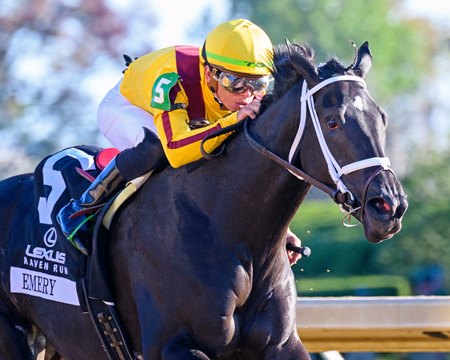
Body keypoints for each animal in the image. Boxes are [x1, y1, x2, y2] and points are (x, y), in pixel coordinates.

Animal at [0, 40, 408, 358]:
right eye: (333, 120)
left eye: (382, 118)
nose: (388, 206)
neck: (229, 229)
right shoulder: (172, 345)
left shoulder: (281, 343)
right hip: (15, 336)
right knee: (150, 143)